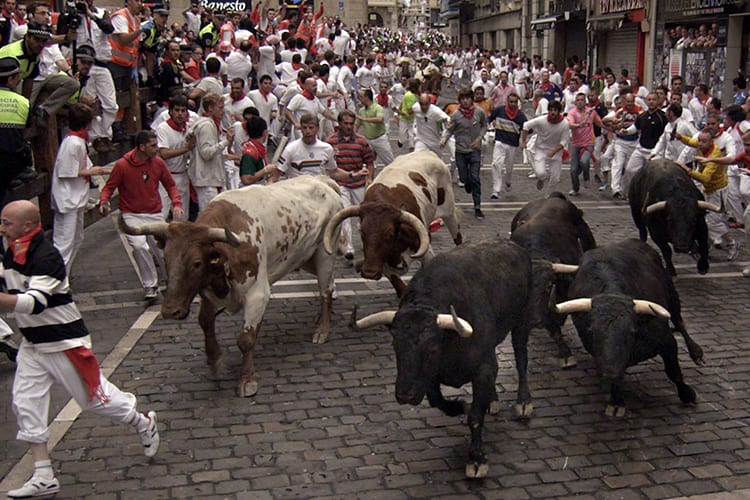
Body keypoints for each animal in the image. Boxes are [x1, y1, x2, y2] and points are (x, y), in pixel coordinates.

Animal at [119, 176, 346, 398]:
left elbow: (245, 339)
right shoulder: (209, 292)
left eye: (197, 263)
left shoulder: (257, 295)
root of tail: (322, 180)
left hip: (325, 253)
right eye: (165, 259)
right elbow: (205, 322)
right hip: (307, 258)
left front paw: (247, 379)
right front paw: (215, 361)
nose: (170, 311)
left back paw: (322, 329)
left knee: (325, 291)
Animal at [324, 148, 464, 296]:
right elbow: (399, 286)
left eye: (390, 234)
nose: (369, 272)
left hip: (449, 212)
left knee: (457, 236)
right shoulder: (382, 264)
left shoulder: (426, 252)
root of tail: (426, 152)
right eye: (362, 232)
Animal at [354, 240, 536, 478]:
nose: (404, 395)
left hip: (521, 322)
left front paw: (477, 459)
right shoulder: (430, 376)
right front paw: (458, 406)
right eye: (396, 346)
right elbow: (436, 399)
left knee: (521, 358)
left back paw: (523, 402)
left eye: (432, 349)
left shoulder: (484, 367)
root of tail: (515, 246)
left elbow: (475, 416)